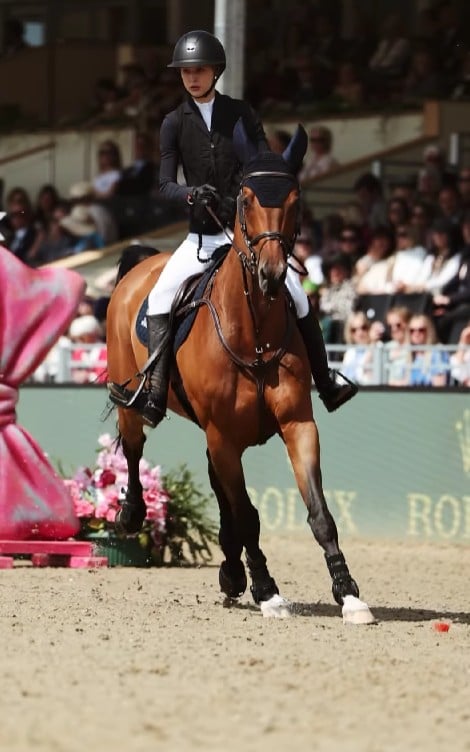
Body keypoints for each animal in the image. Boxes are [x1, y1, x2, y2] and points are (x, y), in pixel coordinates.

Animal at [106, 121, 374, 624]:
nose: (271, 275)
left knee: (218, 490)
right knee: (133, 447)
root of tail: (142, 263)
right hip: (132, 396)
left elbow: (319, 512)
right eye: (245, 199)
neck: (254, 333)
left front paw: (348, 593)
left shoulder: (296, 424)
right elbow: (248, 514)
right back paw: (131, 515)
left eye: (296, 201)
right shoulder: (224, 436)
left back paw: (231, 573)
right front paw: (268, 591)